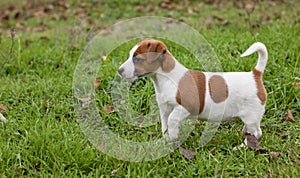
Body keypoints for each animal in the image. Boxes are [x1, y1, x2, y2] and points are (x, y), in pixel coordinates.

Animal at [118, 38, 268, 148]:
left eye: (137, 59)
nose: (119, 70)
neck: (167, 79)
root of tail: (255, 75)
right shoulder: (164, 109)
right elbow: (165, 124)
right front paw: (166, 142)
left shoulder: (186, 106)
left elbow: (172, 120)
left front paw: (173, 136)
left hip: (251, 116)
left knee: (257, 133)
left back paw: (242, 146)